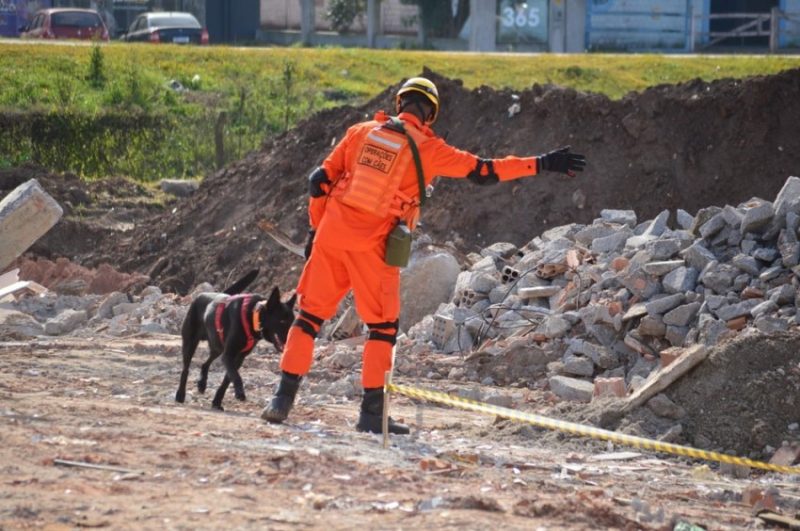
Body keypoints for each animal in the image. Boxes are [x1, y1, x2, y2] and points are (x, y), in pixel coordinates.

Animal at [175, 270, 296, 412]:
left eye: (293, 321)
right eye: (282, 321)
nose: (292, 340)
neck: (252, 316)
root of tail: (200, 296)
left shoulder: (238, 358)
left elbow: (227, 380)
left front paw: (217, 402)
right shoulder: (229, 355)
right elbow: (236, 376)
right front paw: (240, 393)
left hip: (217, 347)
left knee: (205, 363)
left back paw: (202, 384)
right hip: (191, 343)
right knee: (185, 369)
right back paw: (180, 394)